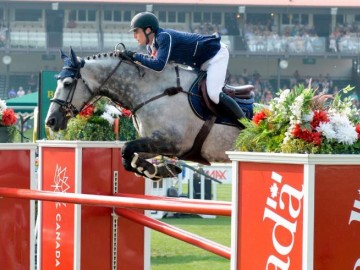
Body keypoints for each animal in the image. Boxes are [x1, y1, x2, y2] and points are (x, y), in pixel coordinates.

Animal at [45, 47, 253, 180]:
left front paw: (154, 169)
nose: (50, 121)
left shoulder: (173, 142)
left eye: (67, 83)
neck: (155, 92)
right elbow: (128, 154)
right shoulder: (154, 142)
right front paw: (157, 169)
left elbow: (126, 148)